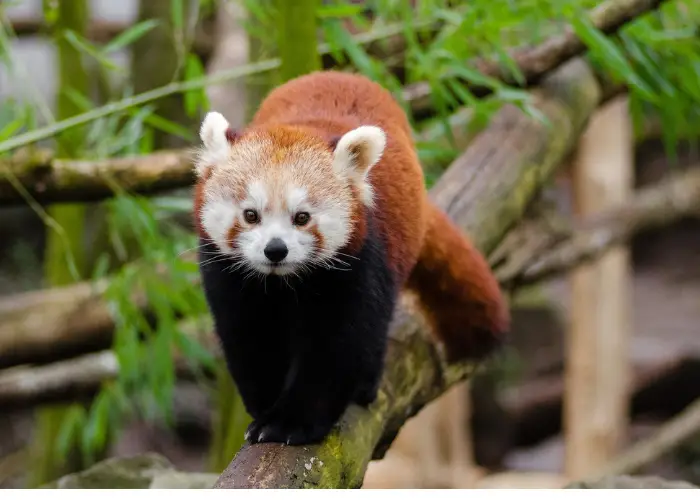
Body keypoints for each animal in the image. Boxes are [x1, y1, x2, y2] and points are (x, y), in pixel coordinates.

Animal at [193, 70, 508, 446]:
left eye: (302, 217)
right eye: (250, 215)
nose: (275, 249)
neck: (284, 282)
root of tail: (340, 73)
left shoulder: (358, 263)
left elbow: (338, 345)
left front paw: (292, 421)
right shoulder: (229, 277)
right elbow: (249, 336)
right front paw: (264, 405)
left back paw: (365, 386)